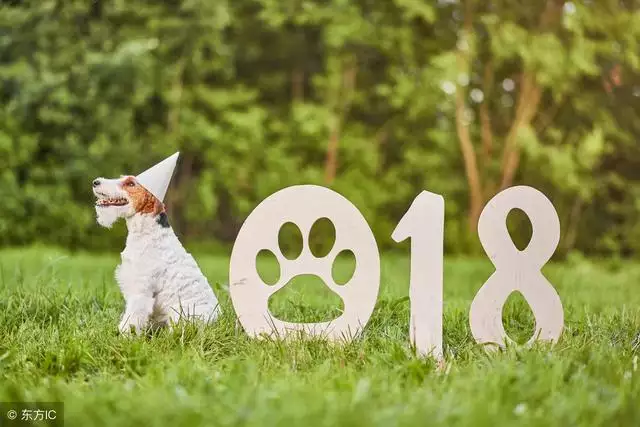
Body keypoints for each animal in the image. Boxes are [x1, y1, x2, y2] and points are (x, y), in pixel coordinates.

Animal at [92, 152, 222, 336]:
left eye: (130, 183)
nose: (95, 182)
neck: (147, 231)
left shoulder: (141, 291)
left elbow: (131, 320)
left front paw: (124, 337)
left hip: (181, 317)